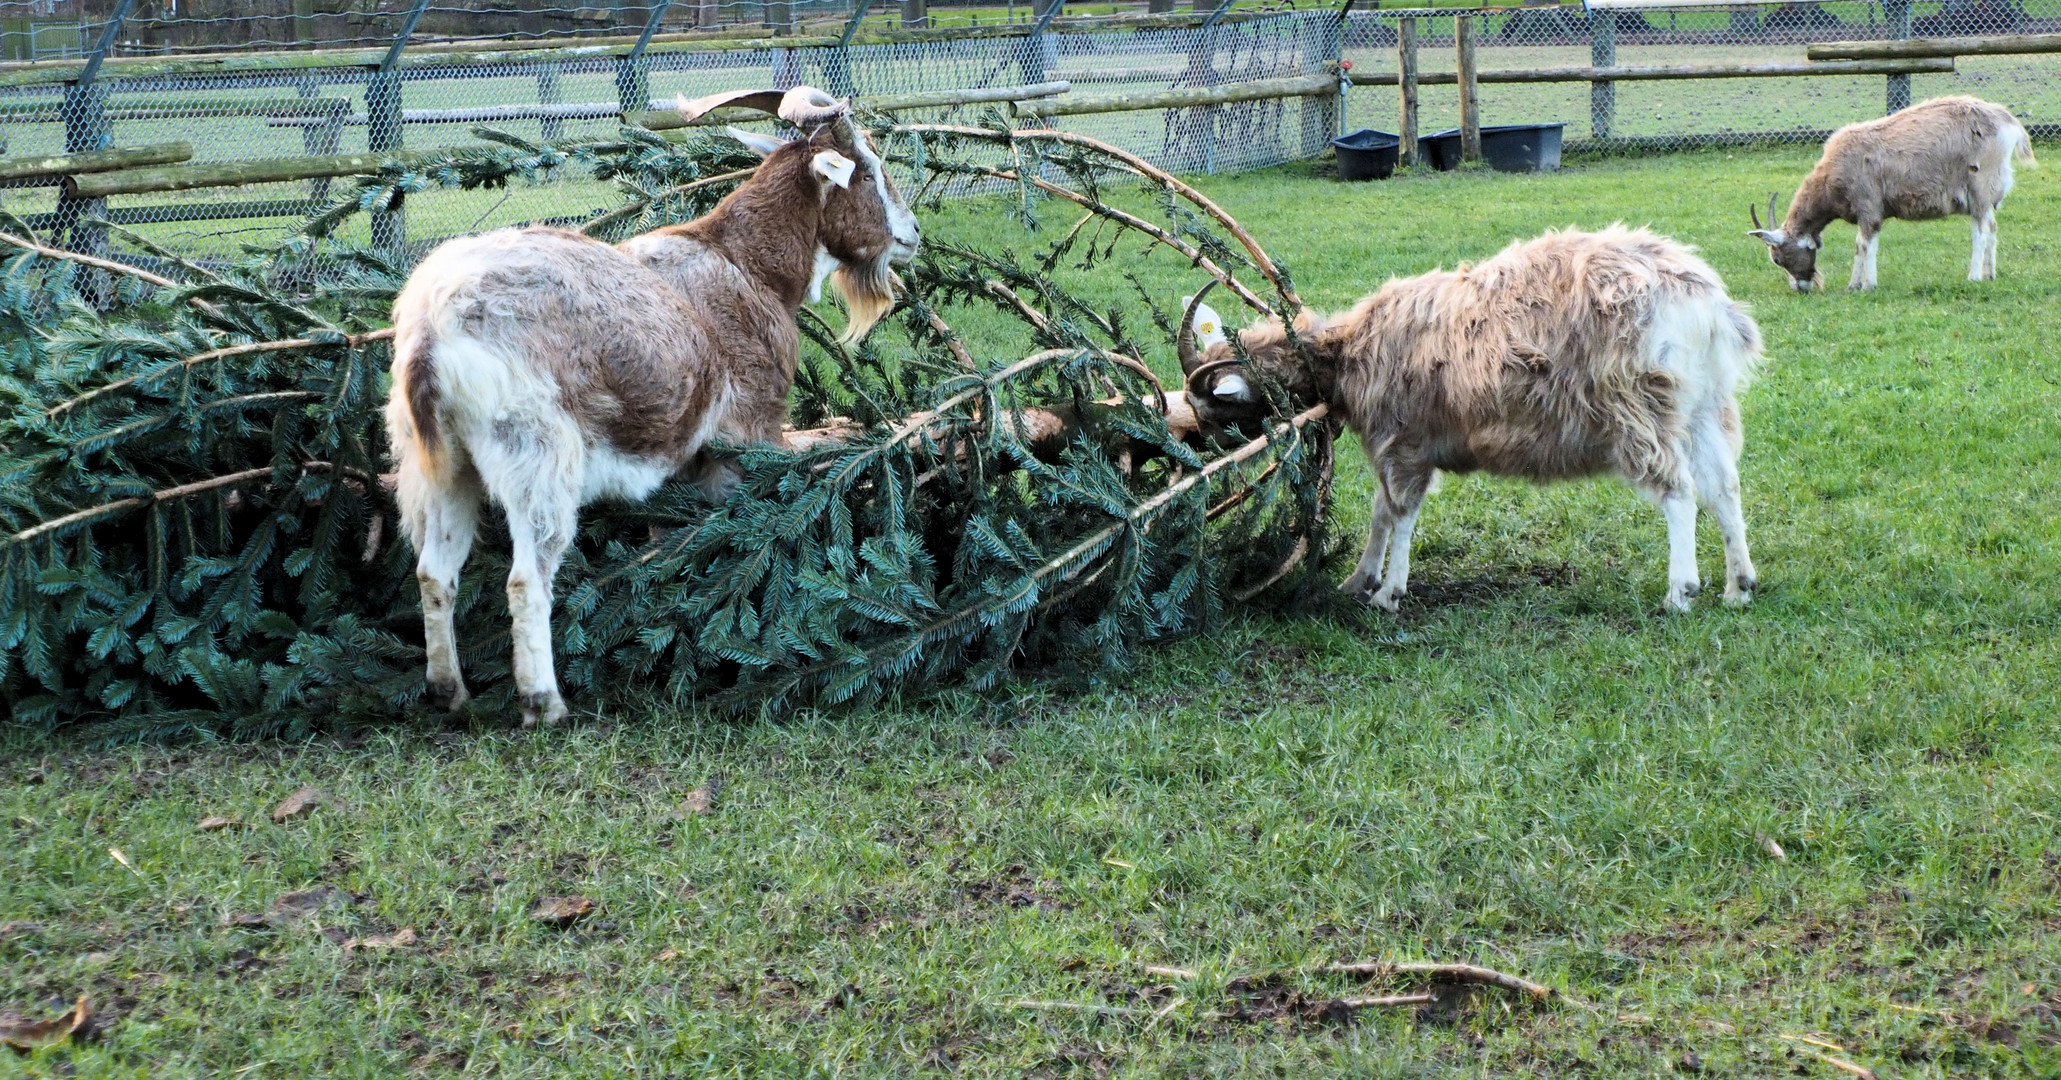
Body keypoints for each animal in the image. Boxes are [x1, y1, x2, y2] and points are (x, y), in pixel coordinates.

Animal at [381, 86, 927, 725]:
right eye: (865, 169)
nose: (912, 233)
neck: (750, 266)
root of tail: (430, 328)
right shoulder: (748, 435)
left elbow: (667, 540)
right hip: (535, 451)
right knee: (526, 577)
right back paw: (545, 704)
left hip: (438, 462)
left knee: (435, 572)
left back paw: (450, 692)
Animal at [1187, 223, 1764, 610]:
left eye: (1215, 409)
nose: (1203, 457)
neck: (1348, 351)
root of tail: (1709, 305)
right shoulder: (1400, 448)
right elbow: (1381, 512)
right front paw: (1359, 581)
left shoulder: (1405, 443)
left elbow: (1400, 513)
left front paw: (1388, 592)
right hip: (1705, 406)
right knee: (1723, 486)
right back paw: (1738, 586)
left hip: (1640, 407)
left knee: (1678, 490)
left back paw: (1680, 590)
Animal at [1747, 95, 2036, 288]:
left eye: (1778, 259)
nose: (1801, 287)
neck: (1834, 170)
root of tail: (2008, 122)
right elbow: (1858, 246)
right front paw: (1854, 285)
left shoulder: (1869, 209)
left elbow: (1866, 244)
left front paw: (1868, 285)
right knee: (1992, 227)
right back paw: (1990, 274)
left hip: (1979, 188)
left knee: (1981, 230)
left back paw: (1974, 276)